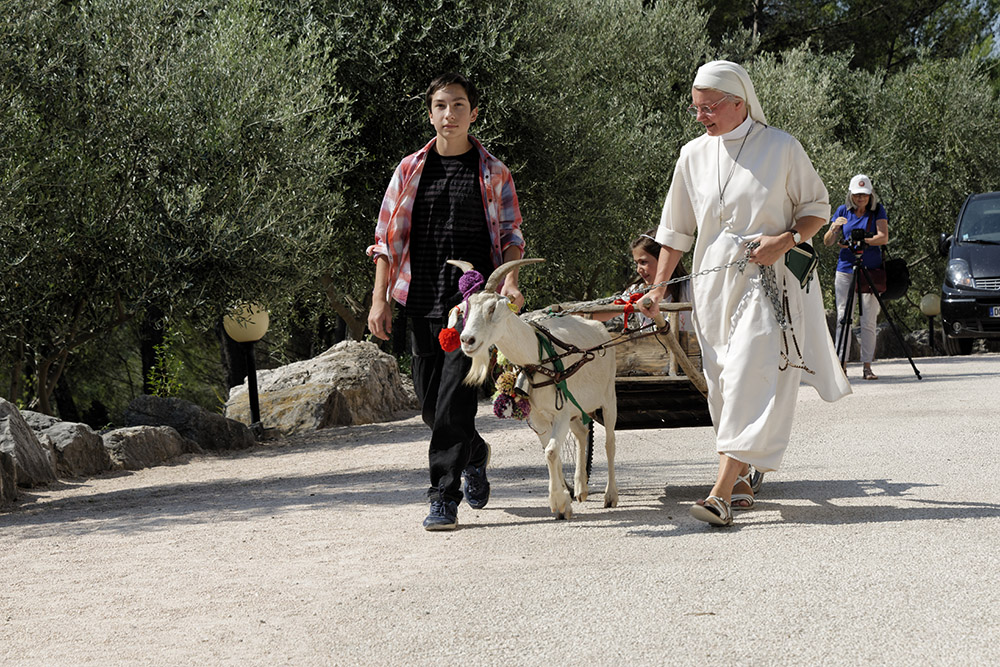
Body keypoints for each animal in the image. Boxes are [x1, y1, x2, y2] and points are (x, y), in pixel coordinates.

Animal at [448, 258, 616, 520]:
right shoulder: (540, 417)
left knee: (610, 442)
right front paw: (564, 503)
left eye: (492, 309)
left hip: (608, 397)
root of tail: (600, 328)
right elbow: (550, 452)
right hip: (576, 407)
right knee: (581, 433)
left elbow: (552, 452)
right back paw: (581, 489)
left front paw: (557, 503)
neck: (538, 357)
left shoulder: (561, 412)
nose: (467, 340)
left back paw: (610, 496)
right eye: (465, 310)